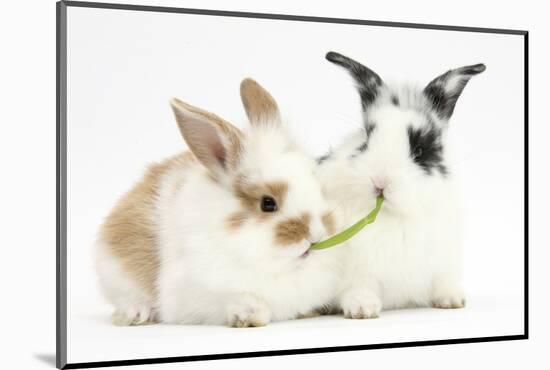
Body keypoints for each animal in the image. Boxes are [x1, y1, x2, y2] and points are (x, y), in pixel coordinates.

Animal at [95, 77, 344, 326]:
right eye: (268, 203)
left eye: (317, 184)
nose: (316, 234)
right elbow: (241, 300)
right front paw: (249, 316)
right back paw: (135, 314)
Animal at [316, 51, 490, 318]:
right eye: (366, 139)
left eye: (419, 150)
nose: (380, 182)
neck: (393, 215)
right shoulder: (356, 265)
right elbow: (359, 285)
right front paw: (363, 308)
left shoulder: (443, 256)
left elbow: (443, 280)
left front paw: (451, 300)